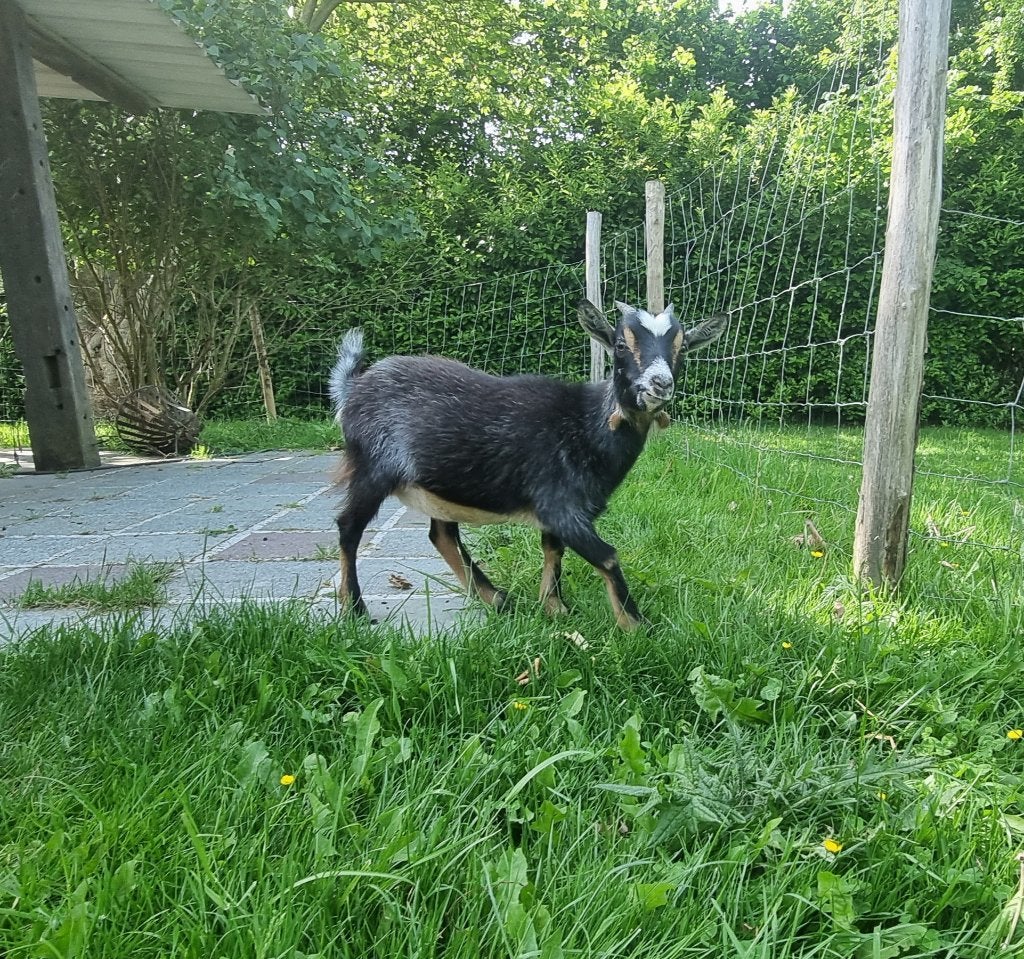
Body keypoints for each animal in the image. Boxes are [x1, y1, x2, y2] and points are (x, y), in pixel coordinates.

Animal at [329, 299, 727, 629]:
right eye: (620, 344)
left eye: (682, 348)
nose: (660, 384)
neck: (586, 424)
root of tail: (353, 387)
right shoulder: (561, 504)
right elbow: (608, 557)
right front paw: (636, 627)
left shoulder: (560, 509)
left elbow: (553, 550)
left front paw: (554, 608)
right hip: (372, 467)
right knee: (349, 527)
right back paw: (355, 609)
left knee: (441, 534)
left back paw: (497, 599)